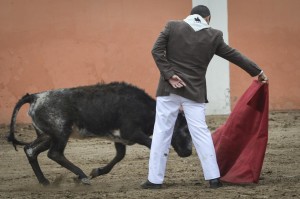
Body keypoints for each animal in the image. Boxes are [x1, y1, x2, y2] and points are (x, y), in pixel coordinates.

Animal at [7, 81, 192, 186]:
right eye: (184, 130)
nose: (189, 152)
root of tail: (35, 97)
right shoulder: (132, 133)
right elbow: (151, 145)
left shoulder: (120, 138)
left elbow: (119, 156)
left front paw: (97, 172)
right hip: (61, 132)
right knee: (54, 153)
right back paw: (81, 177)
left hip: (47, 135)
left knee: (31, 150)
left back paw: (45, 182)